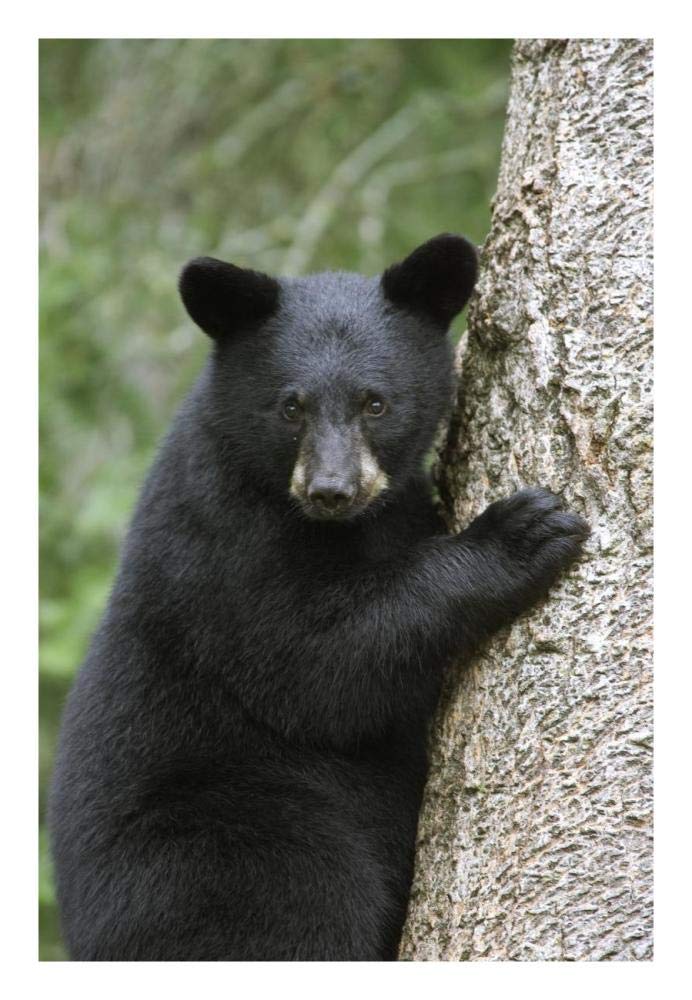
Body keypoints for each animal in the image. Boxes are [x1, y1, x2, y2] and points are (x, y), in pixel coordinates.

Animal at [49, 233, 588, 961]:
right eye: (291, 406)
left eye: (375, 402)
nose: (331, 490)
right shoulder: (222, 545)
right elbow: (315, 668)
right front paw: (522, 534)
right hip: (232, 840)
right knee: (298, 910)